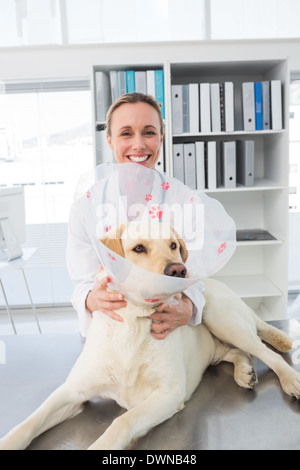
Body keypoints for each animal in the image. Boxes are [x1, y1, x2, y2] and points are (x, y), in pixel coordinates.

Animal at [0, 222, 300, 450]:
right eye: (139, 248)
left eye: (173, 245)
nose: (178, 270)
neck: (132, 324)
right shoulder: (73, 391)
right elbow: (28, 423)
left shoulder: (169, 393)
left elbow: (122, 422)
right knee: (238, 352)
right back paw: (244, 372)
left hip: (219, 316)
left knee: (266, 353)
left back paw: (290, 379)